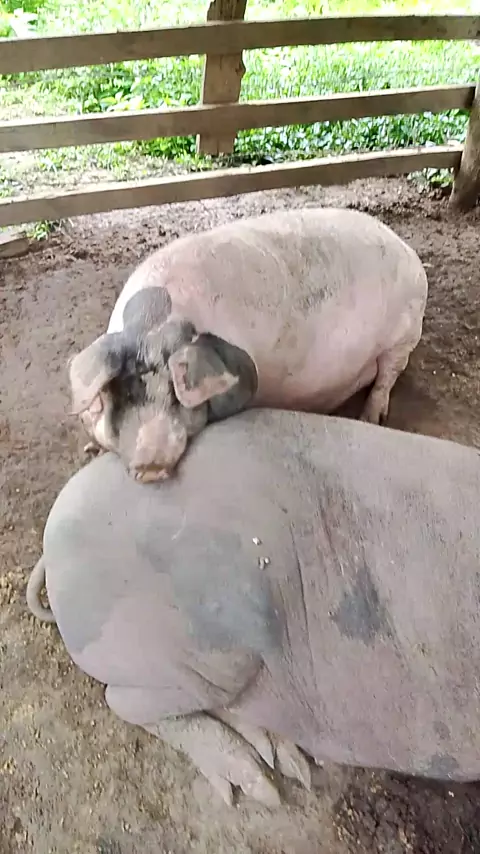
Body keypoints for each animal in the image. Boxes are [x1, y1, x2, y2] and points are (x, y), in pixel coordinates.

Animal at [68, 207, 428, 482]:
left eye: (176, 394)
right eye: (121, 393)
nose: (150, 466)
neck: (153, 327)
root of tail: (408, 251)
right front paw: (90, 449)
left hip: (405, 334)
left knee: (388, 377)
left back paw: (370, 419)